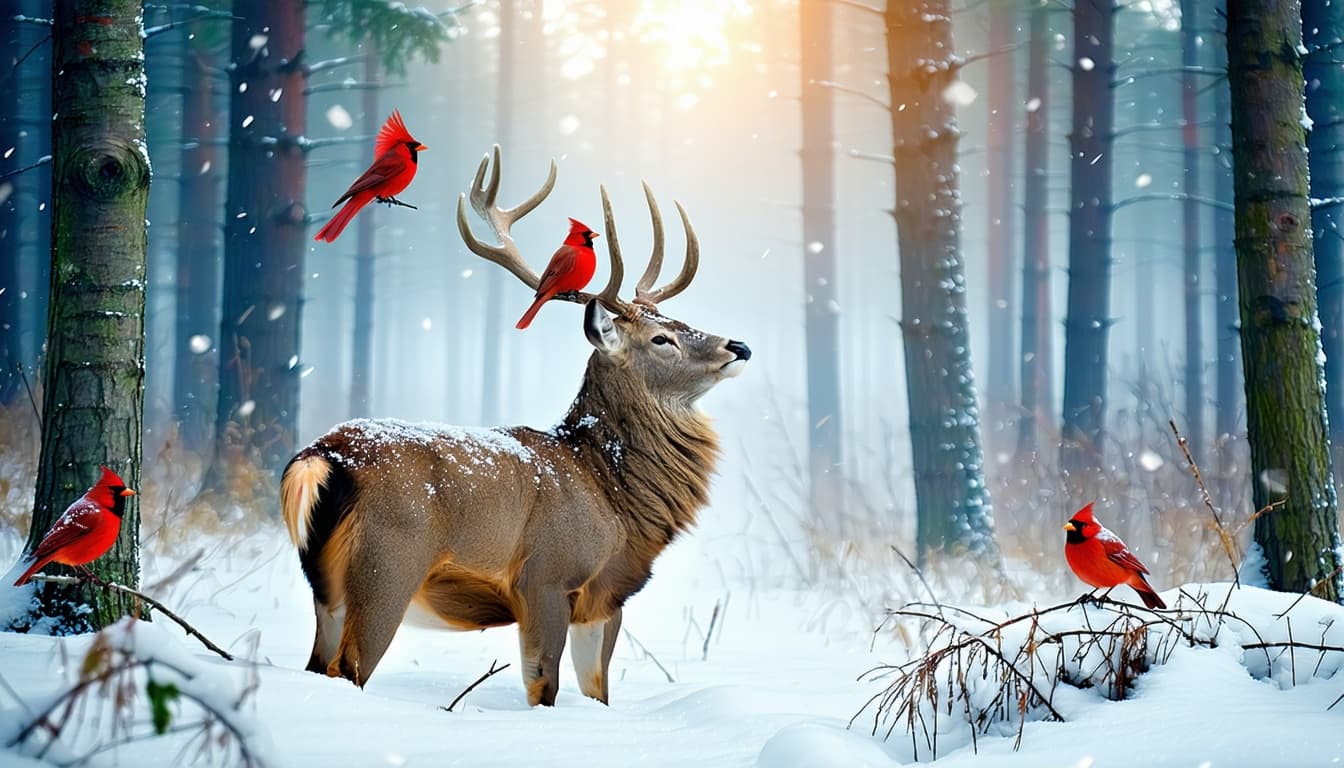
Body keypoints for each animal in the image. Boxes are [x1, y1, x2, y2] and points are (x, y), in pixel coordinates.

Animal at [280, 147, 750, 707]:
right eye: (661, 339)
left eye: (680, 321)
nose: (738, 347)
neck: (613, 496)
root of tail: (321, 457)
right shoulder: (547, 574)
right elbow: (544, 685)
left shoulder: (605, 598)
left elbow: (598, 692)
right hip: (386, 566)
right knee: (349, 668)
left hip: (326, 588)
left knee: (316, 665)